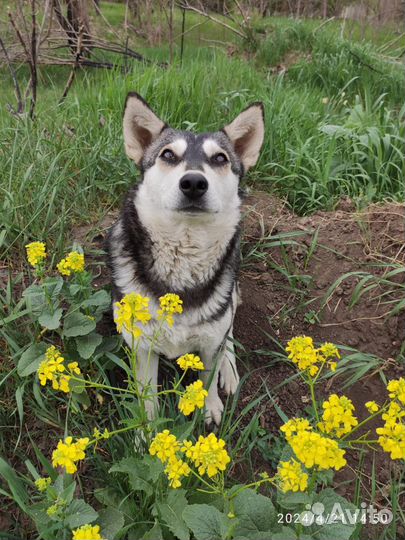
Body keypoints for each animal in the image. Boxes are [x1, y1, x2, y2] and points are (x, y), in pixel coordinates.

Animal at [107, 94, 266, 426]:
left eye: (220, 159)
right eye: (168, 155)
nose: (193, 182)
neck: (184, 255)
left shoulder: (210, 338)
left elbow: (208, 375)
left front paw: (210, 407)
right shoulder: (142, 346)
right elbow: (148, 396)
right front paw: (147, 430)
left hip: (230, 295)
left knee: (229, 331)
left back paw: (229, 370)